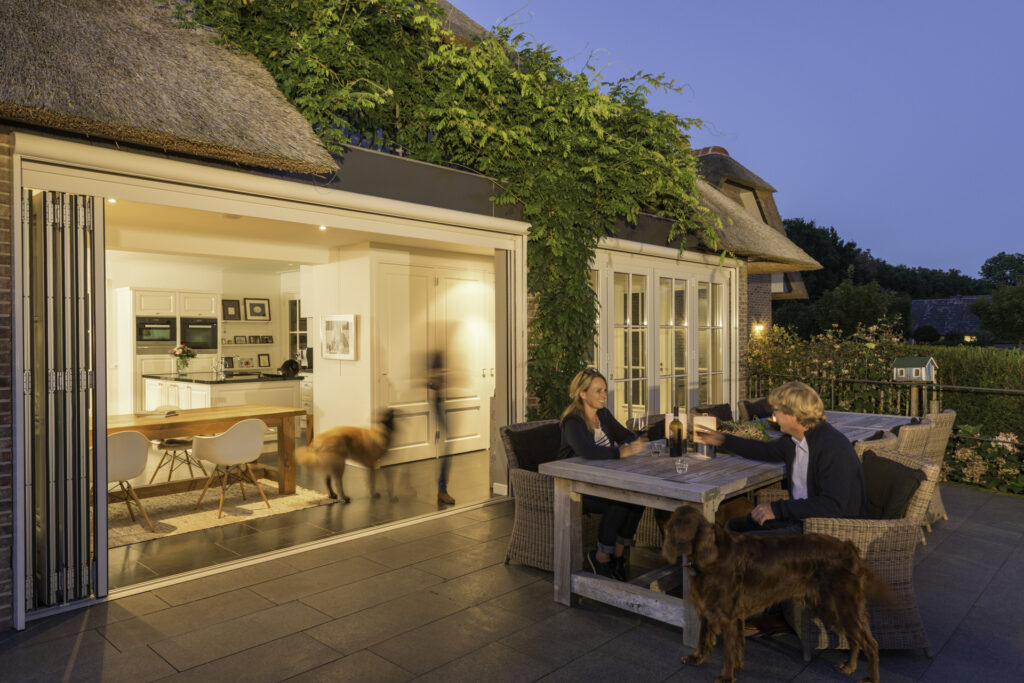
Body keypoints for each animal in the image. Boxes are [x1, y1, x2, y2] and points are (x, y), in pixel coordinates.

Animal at [659, 507, 884, 683]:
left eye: (687, 526)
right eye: (674, 525)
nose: (674, 542)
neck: (710, 555)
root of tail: (848, 547)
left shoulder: (730, 616)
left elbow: (730, 651)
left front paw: (727, 676)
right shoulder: (708, 607)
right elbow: (703, 637)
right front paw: (696, 658)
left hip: (840, 606)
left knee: (871, 644)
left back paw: (871, 678)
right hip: (832, 608)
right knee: (856, 640)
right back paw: (849, 666)